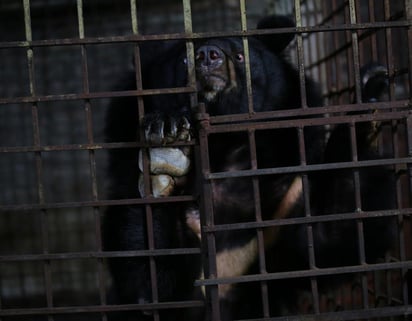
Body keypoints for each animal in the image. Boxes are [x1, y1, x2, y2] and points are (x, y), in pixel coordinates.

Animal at [104, 15, 396, 320]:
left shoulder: (287, 199)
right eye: (184, 60)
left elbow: (333, 238)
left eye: (240, 56)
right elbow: (151, 288)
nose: (207, 55)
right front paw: (167, 139)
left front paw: (371, 93)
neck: (223, 149)